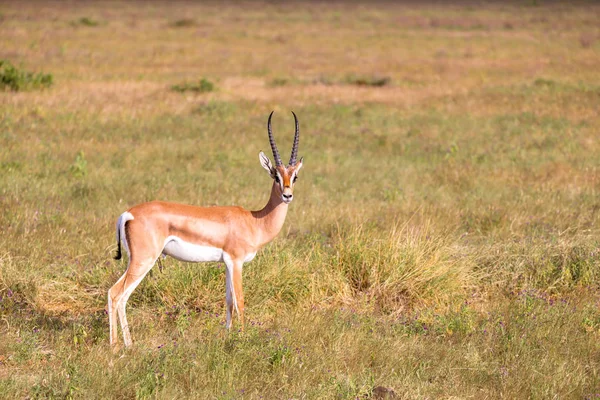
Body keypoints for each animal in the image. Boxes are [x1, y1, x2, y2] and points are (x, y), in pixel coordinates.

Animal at [108, 111, 302, 346]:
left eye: (294, 176)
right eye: (276, 175)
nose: (287, 195)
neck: (253, 220)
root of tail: (128, 213)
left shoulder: (227, 264)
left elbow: (228, 301)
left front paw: (227, 337)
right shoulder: (236, 262)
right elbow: (240, 301)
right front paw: (243, 339)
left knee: (123, 297)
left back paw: (128, 345)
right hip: (144, 260)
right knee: (115, 293)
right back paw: (116, 347)